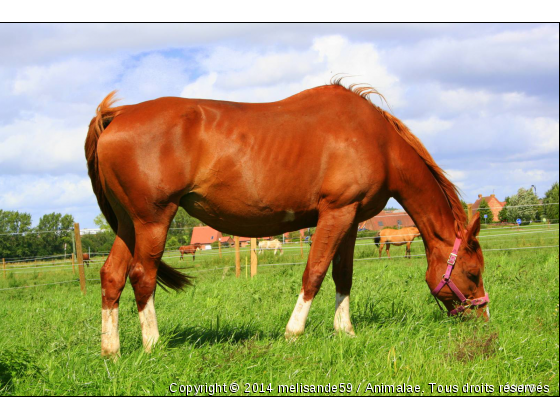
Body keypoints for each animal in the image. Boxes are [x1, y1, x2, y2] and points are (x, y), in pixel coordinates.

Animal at [85, 79, 488, 358]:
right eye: (472, 273)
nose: (482, 319)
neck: (377, 141)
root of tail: (117, 116)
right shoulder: (336, 212)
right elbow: (315, 272)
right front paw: (293, 333)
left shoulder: (351, 219)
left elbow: (343, 275)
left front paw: (346, 331)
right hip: (153, 220)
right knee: (142, 276)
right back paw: (152, 344)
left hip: (128, 224)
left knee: (112, 276)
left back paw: (111, 351)